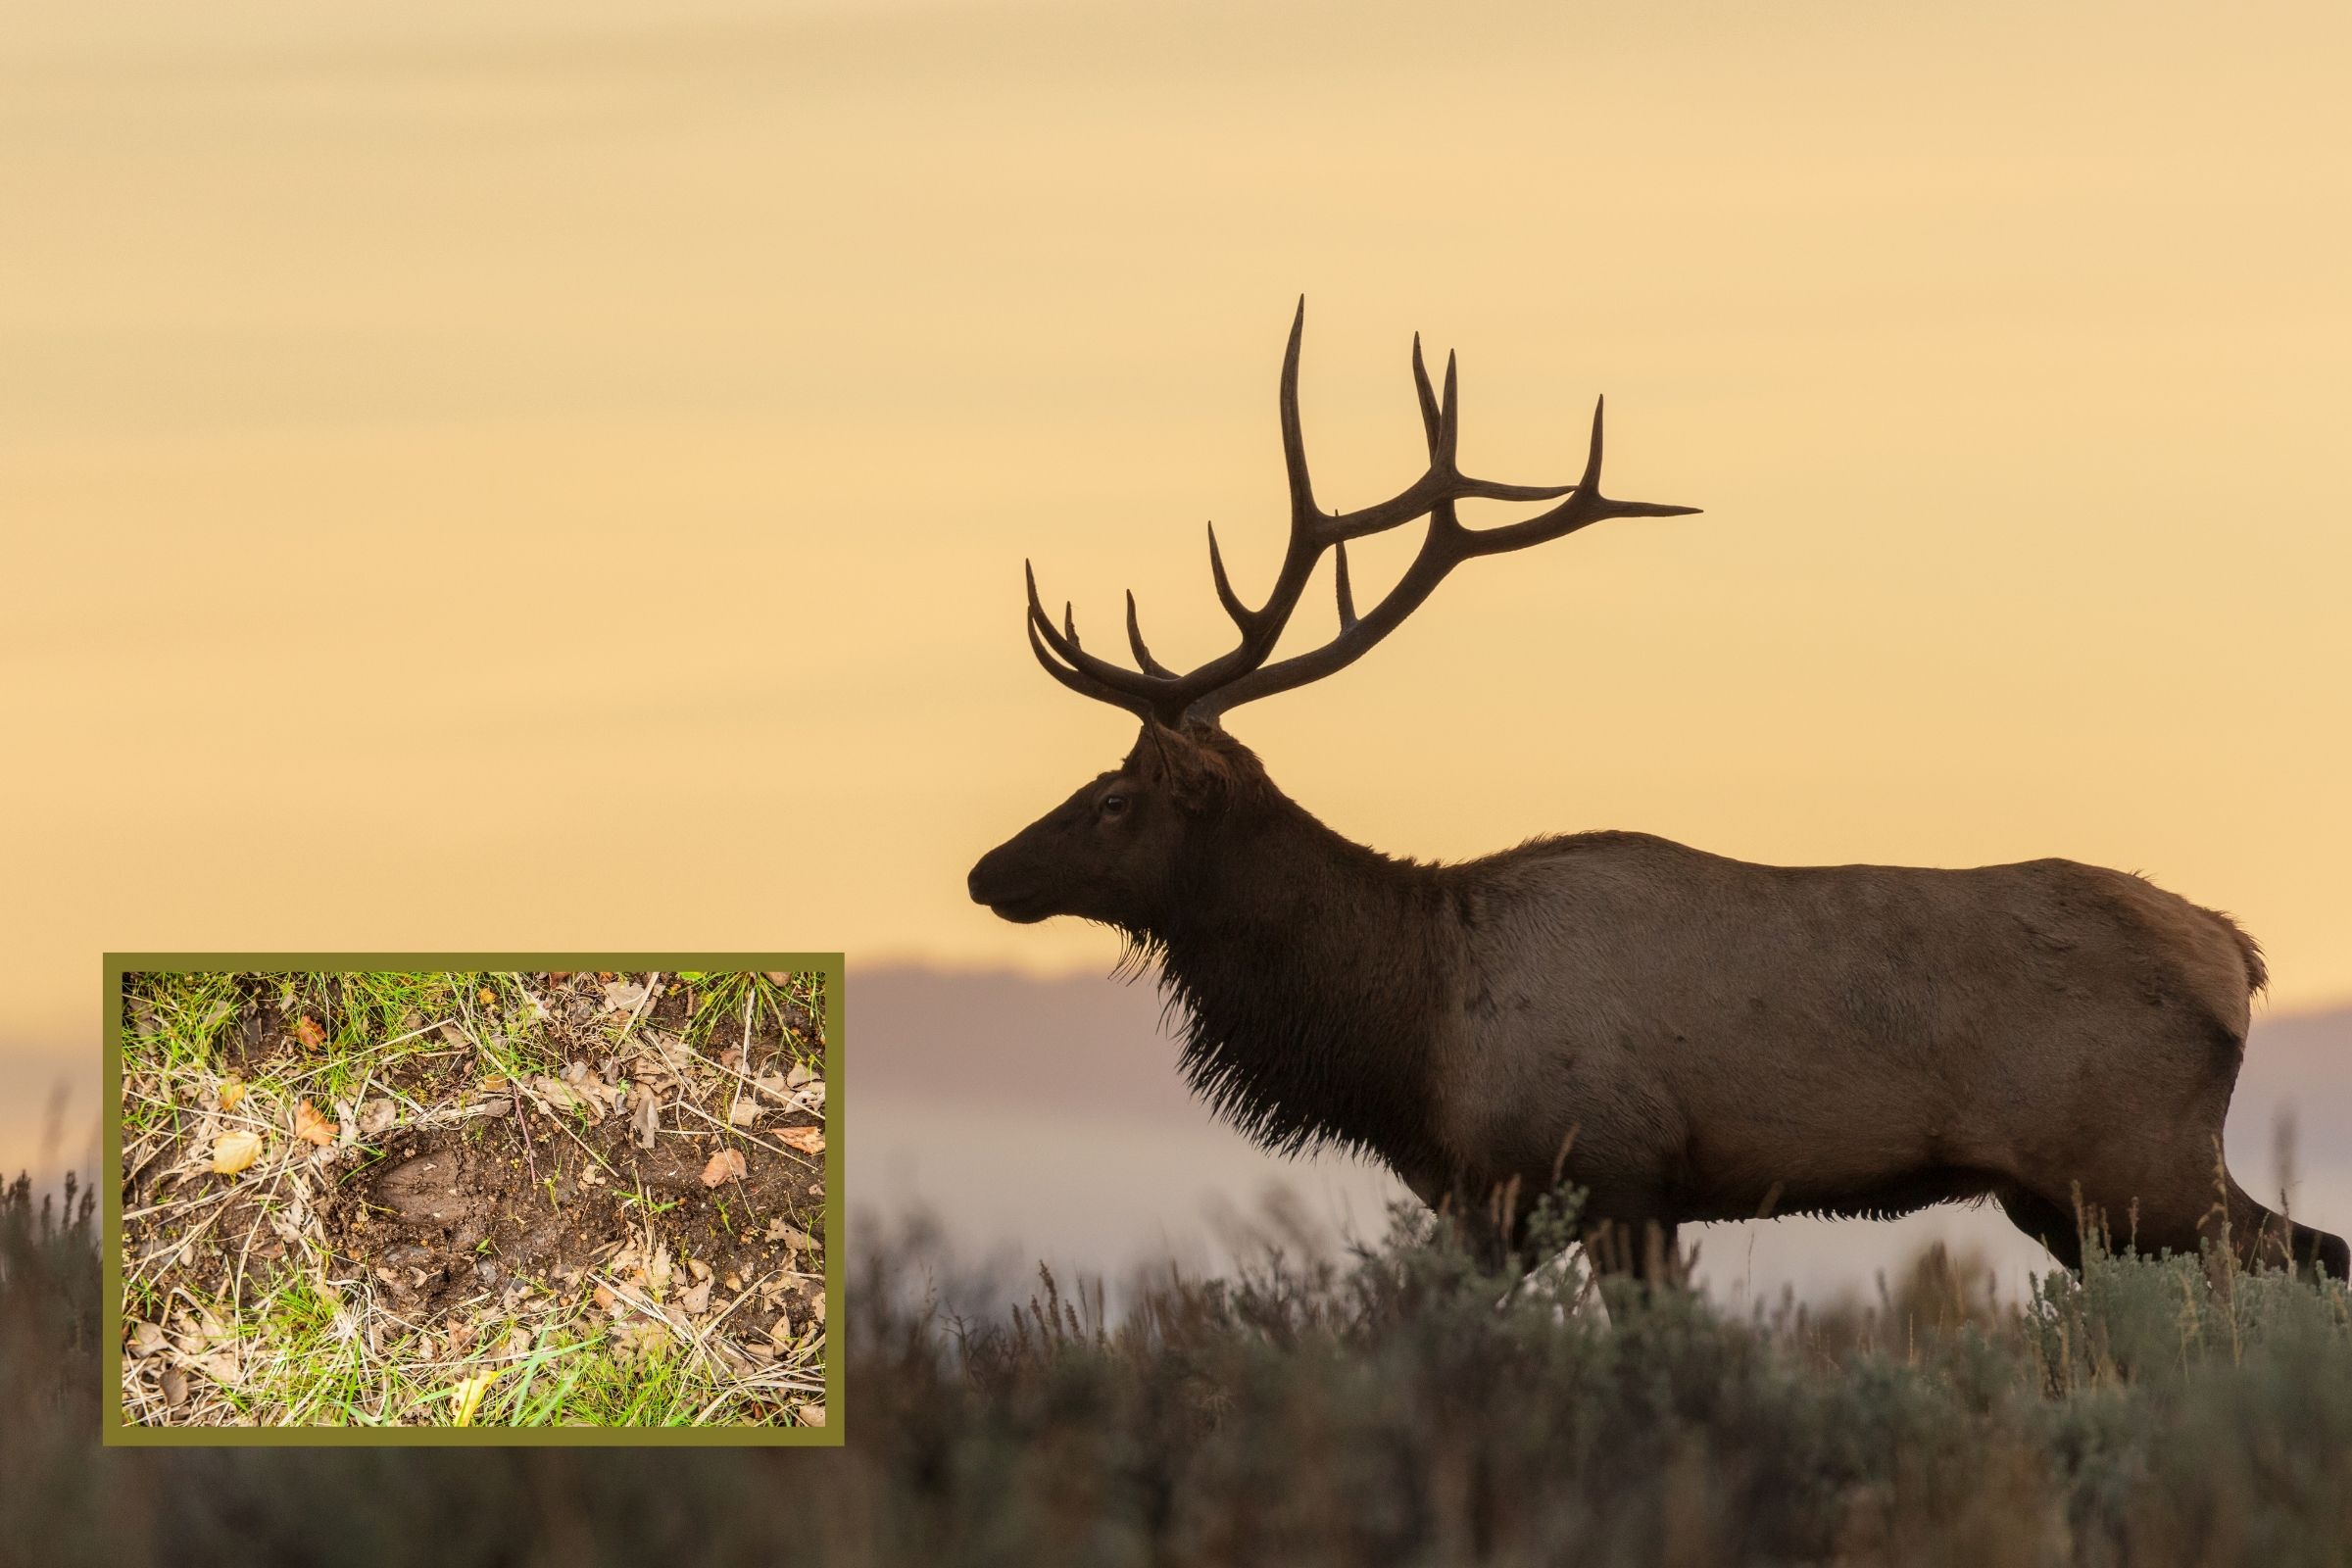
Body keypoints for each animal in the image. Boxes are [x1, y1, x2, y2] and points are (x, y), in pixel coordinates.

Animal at [964, 303, 2342, 1288]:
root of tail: (2239, 953)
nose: (986, 871)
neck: (1408, 1028)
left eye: (1116, 797)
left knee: (2298, 1260)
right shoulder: (1499, 1202)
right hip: (2064, 1196)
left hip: (2140, 1161)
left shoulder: (1609, 1170)